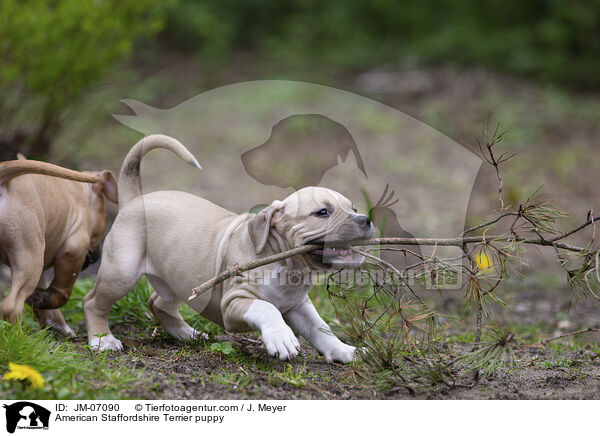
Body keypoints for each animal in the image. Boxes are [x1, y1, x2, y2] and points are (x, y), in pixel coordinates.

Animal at [0, 157, 118, 338]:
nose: (97, 255)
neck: (81, 193)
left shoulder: (40, 269)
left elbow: (44, 304)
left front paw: (55, 324)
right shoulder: (73, 252)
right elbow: (63, 293)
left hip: (32, 262)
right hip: (29, 261)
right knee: (11, 305)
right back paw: (19, 337)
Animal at [83, 135, 376, 362]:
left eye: (354, 208)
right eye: (323, 212)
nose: (366, 220)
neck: (285, 264)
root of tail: (135, 201)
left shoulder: (298, 306)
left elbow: (321, 329)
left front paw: (345, 351)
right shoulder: (234, 303)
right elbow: (266, 308)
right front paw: (281, 338)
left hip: (178, 277)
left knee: (158, 303)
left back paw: (187, 334)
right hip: (122, 271)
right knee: (93, 302)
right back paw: (102, 340)